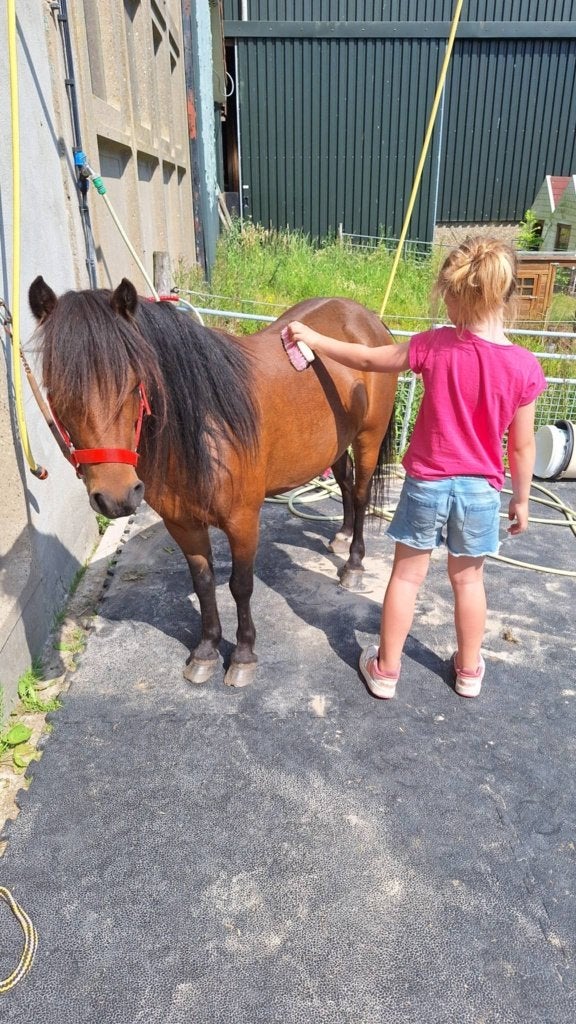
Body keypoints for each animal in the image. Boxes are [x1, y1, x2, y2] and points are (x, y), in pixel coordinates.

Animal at [29, 277, 398, 687]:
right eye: (56, 390)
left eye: (135, 384)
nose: (117, 497)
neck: (206, 428)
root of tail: (365, 317)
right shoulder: (182, 524)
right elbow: (203, 582)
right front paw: (206, 650)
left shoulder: (243, 521)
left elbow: (241, 585)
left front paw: (243, 655)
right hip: (333, 443)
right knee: (346, 485)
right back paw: (342, 535)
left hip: (368, 438)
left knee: (361, 494)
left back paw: (354, 564)